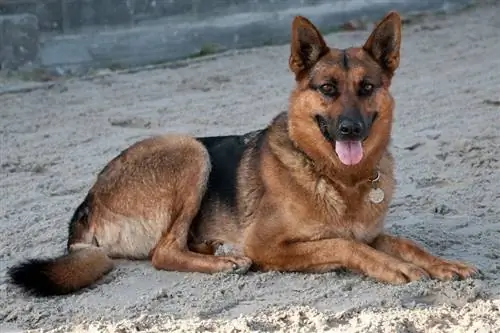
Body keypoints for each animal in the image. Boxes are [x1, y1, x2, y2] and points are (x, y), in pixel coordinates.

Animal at [6, 11, 476, 296]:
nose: (350, 129)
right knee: (163, 252)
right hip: (188, 148)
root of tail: (85, 207)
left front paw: (443, 263)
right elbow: (343, 245)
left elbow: (405, 243)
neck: (337, 176)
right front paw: (389, 267)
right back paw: (225, 263)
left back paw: (215, 249)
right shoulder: (269, 244)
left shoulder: (371, 232)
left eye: (366, 88)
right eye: (327, 89)